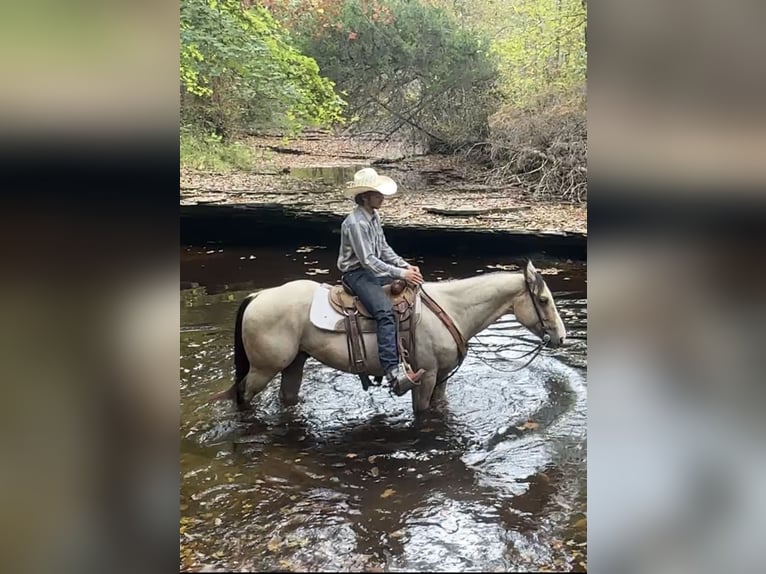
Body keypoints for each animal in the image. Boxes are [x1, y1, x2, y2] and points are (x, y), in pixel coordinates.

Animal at [217, 260, 566, 415]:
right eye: (543, 299)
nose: (561, 337)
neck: (453, 309)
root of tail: (258, 296)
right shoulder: (425, 377)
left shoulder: (441, 378)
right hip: (264, 369)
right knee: (243, 396)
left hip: (295, 363)